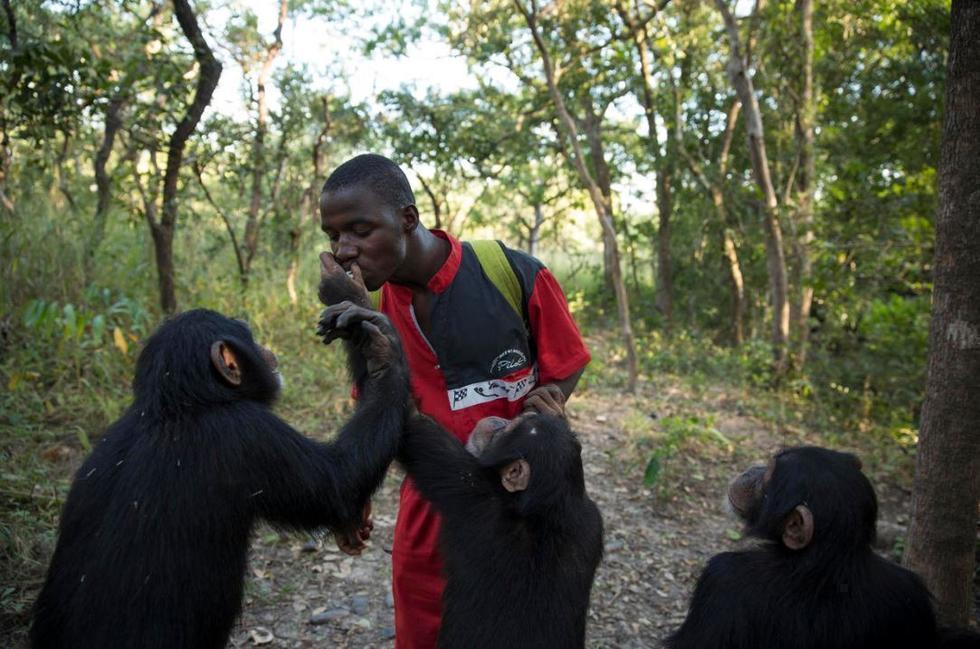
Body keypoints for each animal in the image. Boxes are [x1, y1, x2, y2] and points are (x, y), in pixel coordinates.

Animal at [29, 306, 406, 648]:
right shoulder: (250, 435)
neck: (178, 405)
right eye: (248, 335)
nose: (266, 348)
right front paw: (382, 353)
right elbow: (339, 482)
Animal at [394, 412, 600, 644]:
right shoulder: (592, 519)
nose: (500, 421)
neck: (547, 505)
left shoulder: (470, 490)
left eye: (509, 430)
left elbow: (418, 430)